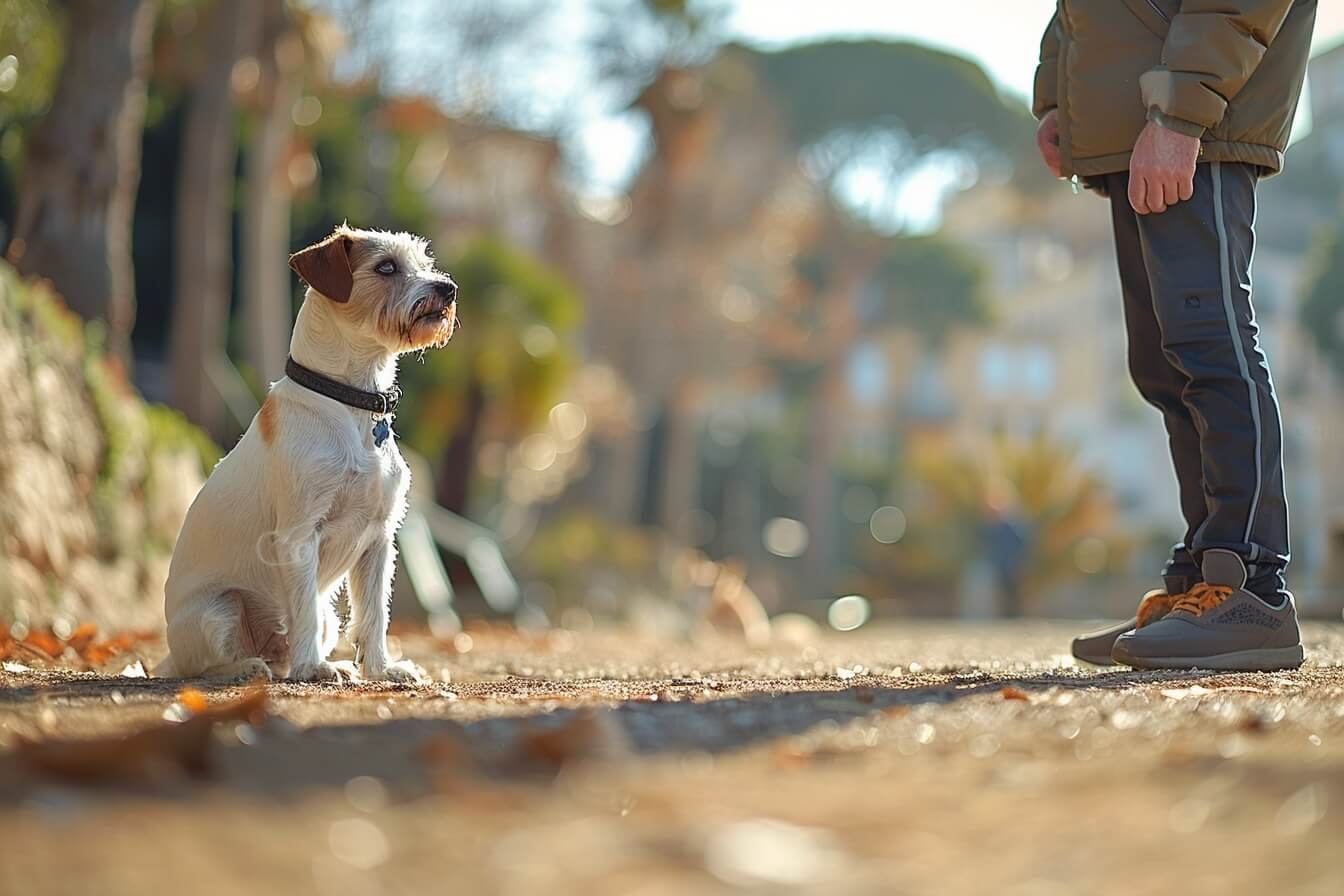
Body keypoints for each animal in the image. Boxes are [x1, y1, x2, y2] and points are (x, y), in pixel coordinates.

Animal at [158, 224, 456, 679]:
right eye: (386, 267)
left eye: (425, 262)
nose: (448, 289)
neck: (350, 401)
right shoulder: (299, 535)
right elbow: (303, 612)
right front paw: (313, 668)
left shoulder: (379, 539)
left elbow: (374, 615)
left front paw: (380, 669)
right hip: (218, 610)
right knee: (203, 668)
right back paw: (250, 667)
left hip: (325, 615)